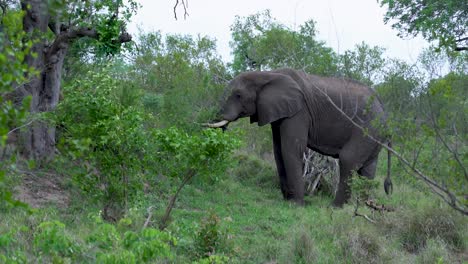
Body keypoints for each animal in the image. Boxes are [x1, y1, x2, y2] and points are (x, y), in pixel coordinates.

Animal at [208, 68, 392, 206]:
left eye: (238, 95)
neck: (268, 74)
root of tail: (383, 107)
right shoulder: (280, 112)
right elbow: (278, 150)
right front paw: (287, 200)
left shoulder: (299, 111)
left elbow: (291, 147)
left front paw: (296, 204)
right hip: (374, 132)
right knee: (368, 169)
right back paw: (363, 208)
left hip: (367, 128)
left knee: (348, 160)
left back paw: (335, 207)